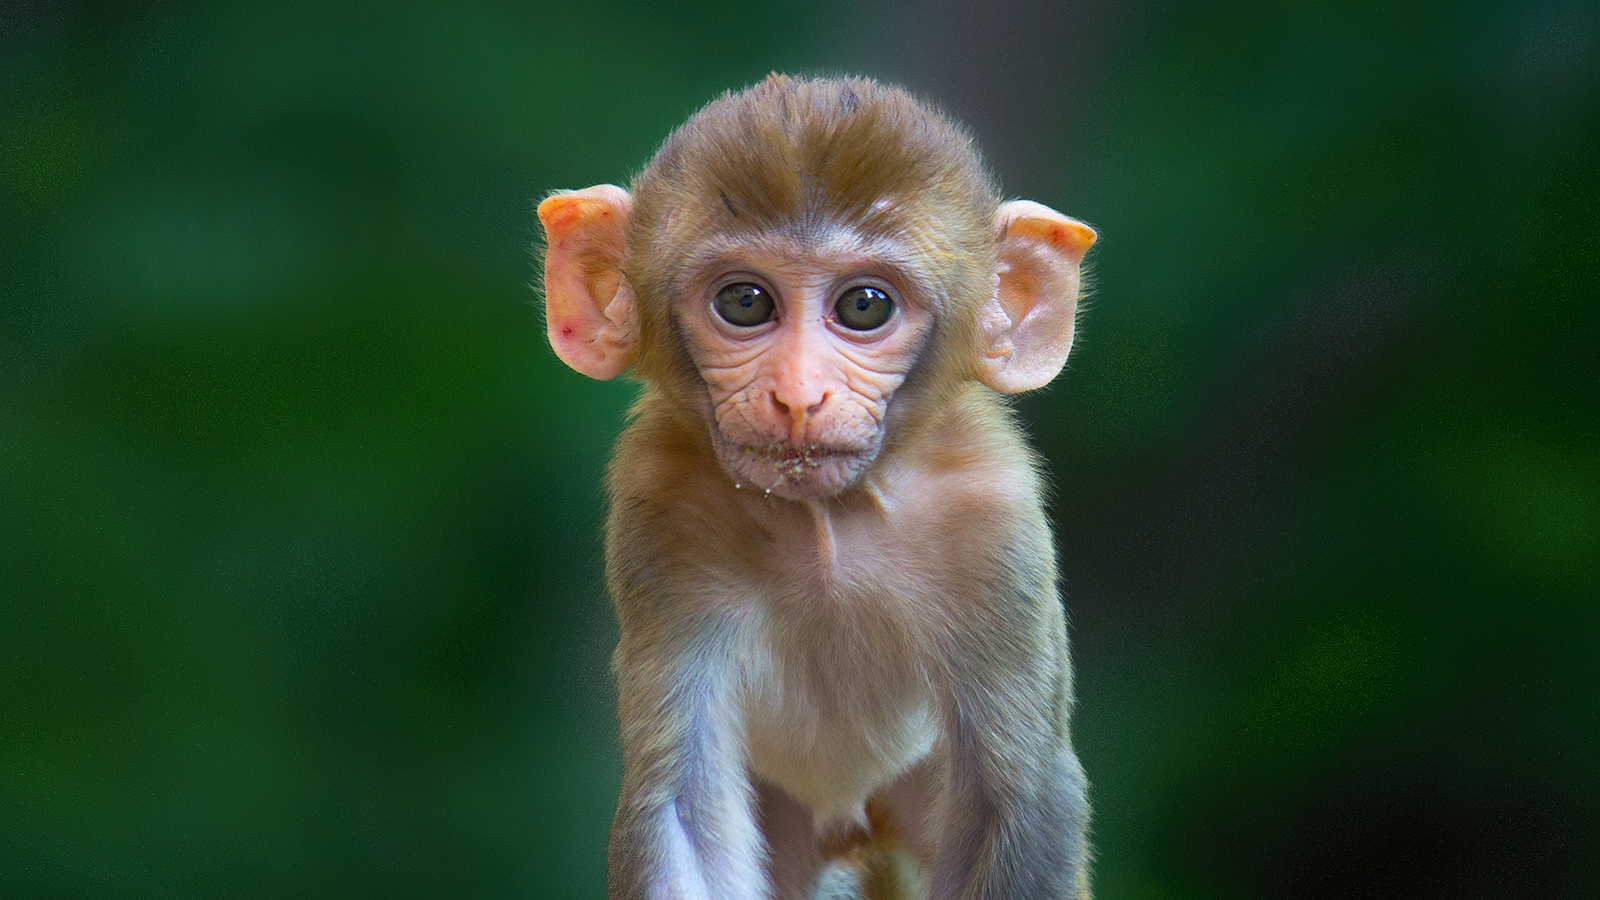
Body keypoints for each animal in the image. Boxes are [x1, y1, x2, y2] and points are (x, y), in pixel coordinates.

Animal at [537, 75, 1098, 900]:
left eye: (865, 305)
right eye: (744, 302)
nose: (799, 397)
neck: (828, 519)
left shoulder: (993, 520)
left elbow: (1019, 798)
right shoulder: (661, 505)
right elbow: (680, 806)